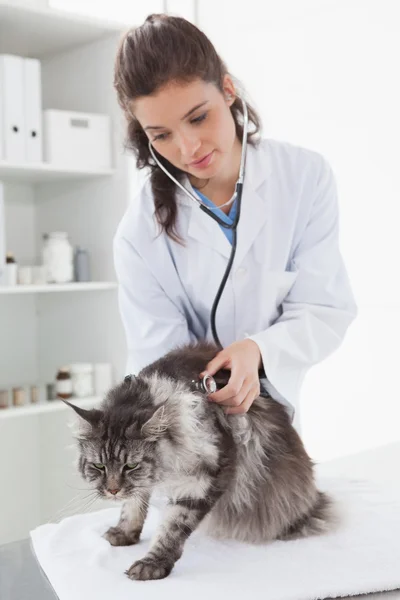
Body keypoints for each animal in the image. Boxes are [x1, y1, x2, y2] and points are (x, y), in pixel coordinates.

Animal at [65, 342, 334, 580]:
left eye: (130, 466)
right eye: (99, 466)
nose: (113, 490)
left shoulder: (206, 476)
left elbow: (173, 527)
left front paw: (152, 564)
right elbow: (133, 504)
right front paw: (124, 532)